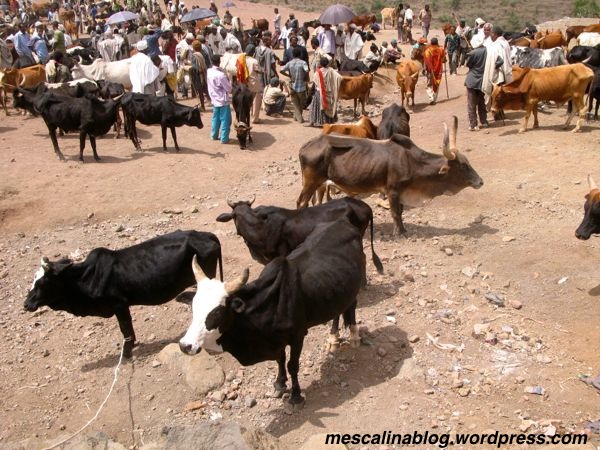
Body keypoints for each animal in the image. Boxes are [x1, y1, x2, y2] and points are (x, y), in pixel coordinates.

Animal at [24, 230, 224, 356]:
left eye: (42, 282)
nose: (27, 304)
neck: (86, 277)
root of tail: (206, 234)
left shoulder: (119, 305)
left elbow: (125, 328)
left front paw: (127, 352)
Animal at [178, 218, 366, 408]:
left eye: (216, 313)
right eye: (193, 308)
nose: (185, 345)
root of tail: (342, 223)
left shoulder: (298, 336)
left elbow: (292, 365)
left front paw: (296, 396)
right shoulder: (276, 340)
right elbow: (280, 359)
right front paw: (280, 384)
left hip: (355, 286)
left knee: (352, 305)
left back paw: (354, 336)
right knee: (338, 310)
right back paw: (333, 338)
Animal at [298, 116, 486, 236]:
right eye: (462, 166)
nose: (480, 181)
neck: (411, 161)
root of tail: (306, 146)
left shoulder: (401, 192)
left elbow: (400, 212)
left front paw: (402, 229)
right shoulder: (393, 190)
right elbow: (395, 212)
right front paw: (399, 233)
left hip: (320, 184)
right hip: (310, 182)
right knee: (301, 203)